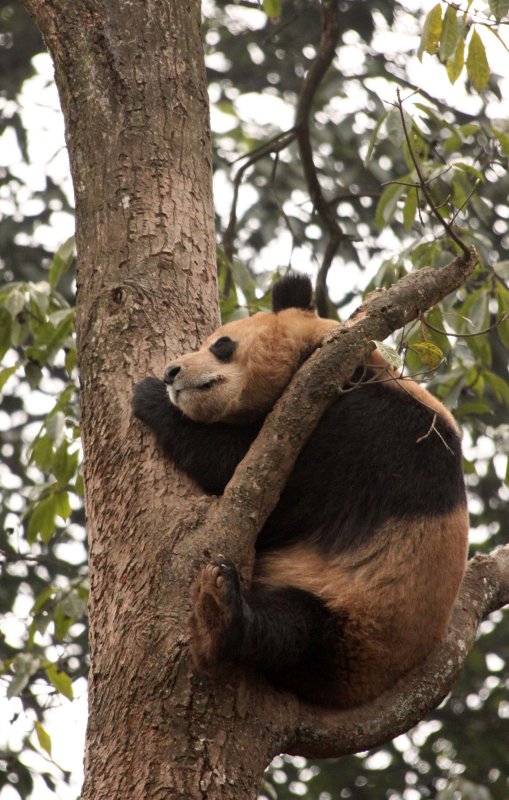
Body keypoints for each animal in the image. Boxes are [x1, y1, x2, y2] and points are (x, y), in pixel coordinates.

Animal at [132, 274, 468, 708]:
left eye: (221, 345)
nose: (172, 372)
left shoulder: (364, 425)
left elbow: (259, 482)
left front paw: (151, 397)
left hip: (355, 625)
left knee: (294, 629)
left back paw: (219, 615)